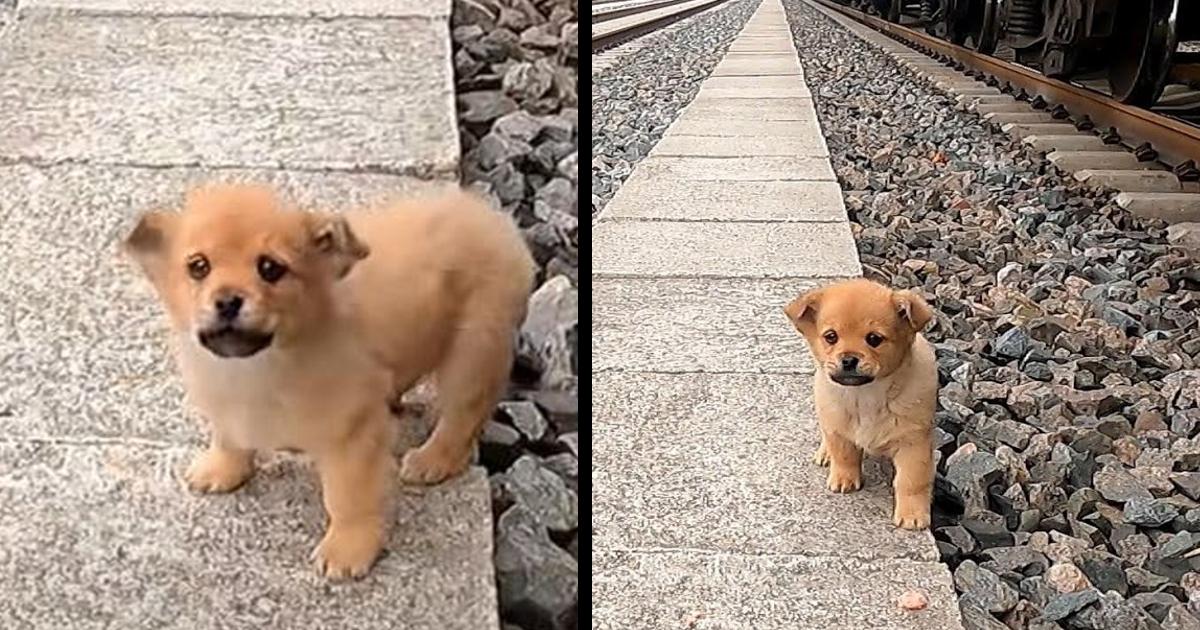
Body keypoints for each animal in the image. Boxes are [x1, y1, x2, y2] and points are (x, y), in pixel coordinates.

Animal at [124, 180, 532, 573]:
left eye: (270, 268)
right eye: (198, 266)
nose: (227, 301)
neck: (257, 366)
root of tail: (490, 216)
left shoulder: (352, 437)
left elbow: (347, 498)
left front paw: (348, 549)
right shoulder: (227, 407)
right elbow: (229, 439)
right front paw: (222, 470)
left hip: (473, 350)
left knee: (464, 416)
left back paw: (433, 460)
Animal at [782, 277, 940, 528]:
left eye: (874, 339)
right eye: (831, 336)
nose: (848, 359)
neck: (865, 397)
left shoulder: (913, 443)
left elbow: (911, 481)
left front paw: (912, 515)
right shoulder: (837, 429)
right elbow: (844, 454)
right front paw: (843, 478)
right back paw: (825, 453)